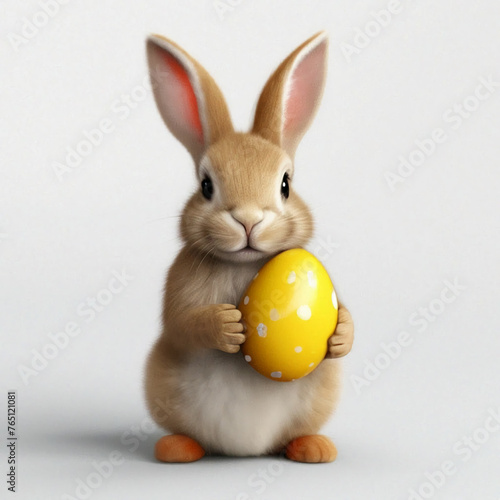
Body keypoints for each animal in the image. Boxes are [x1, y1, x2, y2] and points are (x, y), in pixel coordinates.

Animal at [144, 31, 356, 462]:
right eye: (206, 186)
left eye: (286, 184)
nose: (248, 221)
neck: (245, 263)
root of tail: (245, 449)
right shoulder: (179, 292)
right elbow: (182, 324)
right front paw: (227, 325)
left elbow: (347, 318)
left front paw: (342, 333)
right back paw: (177, 448)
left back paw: (314, 447)